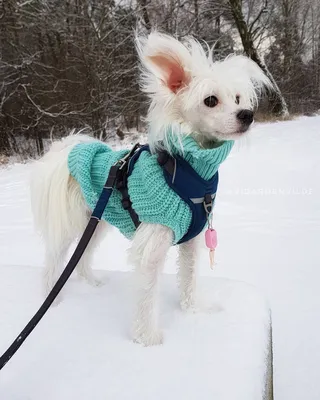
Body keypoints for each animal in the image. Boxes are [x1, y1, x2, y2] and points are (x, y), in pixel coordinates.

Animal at [30, 31, 272, 346]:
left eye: (238, 98)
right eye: (210, 100)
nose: (247, 114)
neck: (189, 171)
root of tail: (70, 151)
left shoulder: (192, 241)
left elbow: (189, 278)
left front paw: (193, 311)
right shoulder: (152, 244)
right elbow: (146, 295)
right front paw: (147, 339)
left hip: (95, 223)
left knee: (81, 258)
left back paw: (92, 282)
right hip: (71, 224)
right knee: (54, 260)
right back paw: (53, 300)